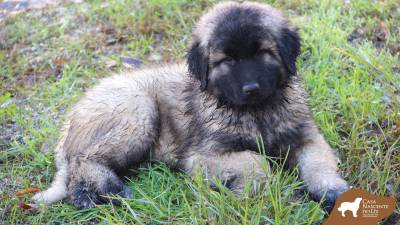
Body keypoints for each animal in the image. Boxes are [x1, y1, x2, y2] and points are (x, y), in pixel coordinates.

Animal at [32, 1, 348, 212]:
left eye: (263, 53)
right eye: (227, 60)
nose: (251, 89)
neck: (257, 113)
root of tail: (72, 117)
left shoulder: (306, 136)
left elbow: (319, 162)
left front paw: (332, 190)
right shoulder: (201, 156)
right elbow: (254, 159)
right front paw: (254, 189)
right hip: (138, 111)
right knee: (83, 161)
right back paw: (104, 192)